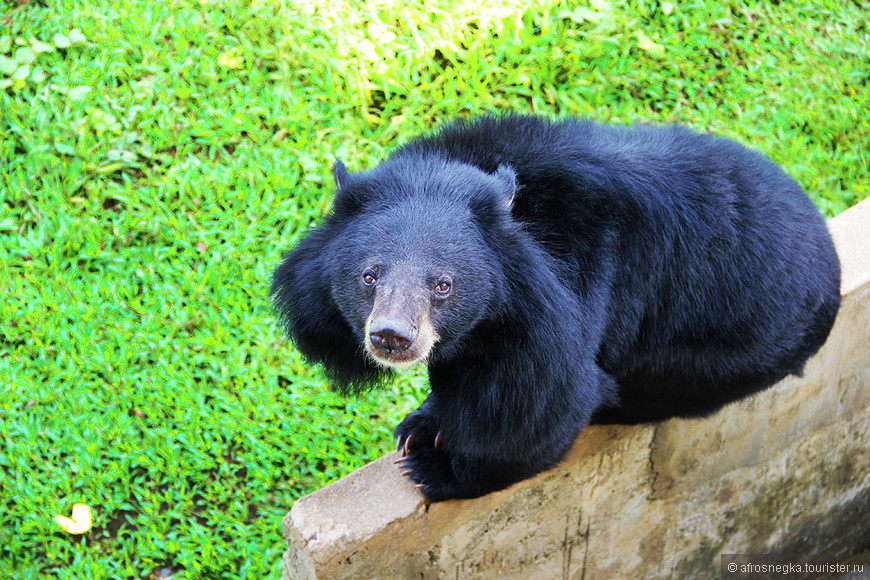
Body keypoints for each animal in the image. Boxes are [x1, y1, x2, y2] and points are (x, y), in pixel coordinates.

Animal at [274, 115, 844, 500]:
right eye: (369, 276)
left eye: (443, 285)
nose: (392, 337)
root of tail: (829, 260)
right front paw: (421, 424)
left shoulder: (567, 293)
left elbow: (547, 401)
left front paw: (437, 466)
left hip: (708, 358)